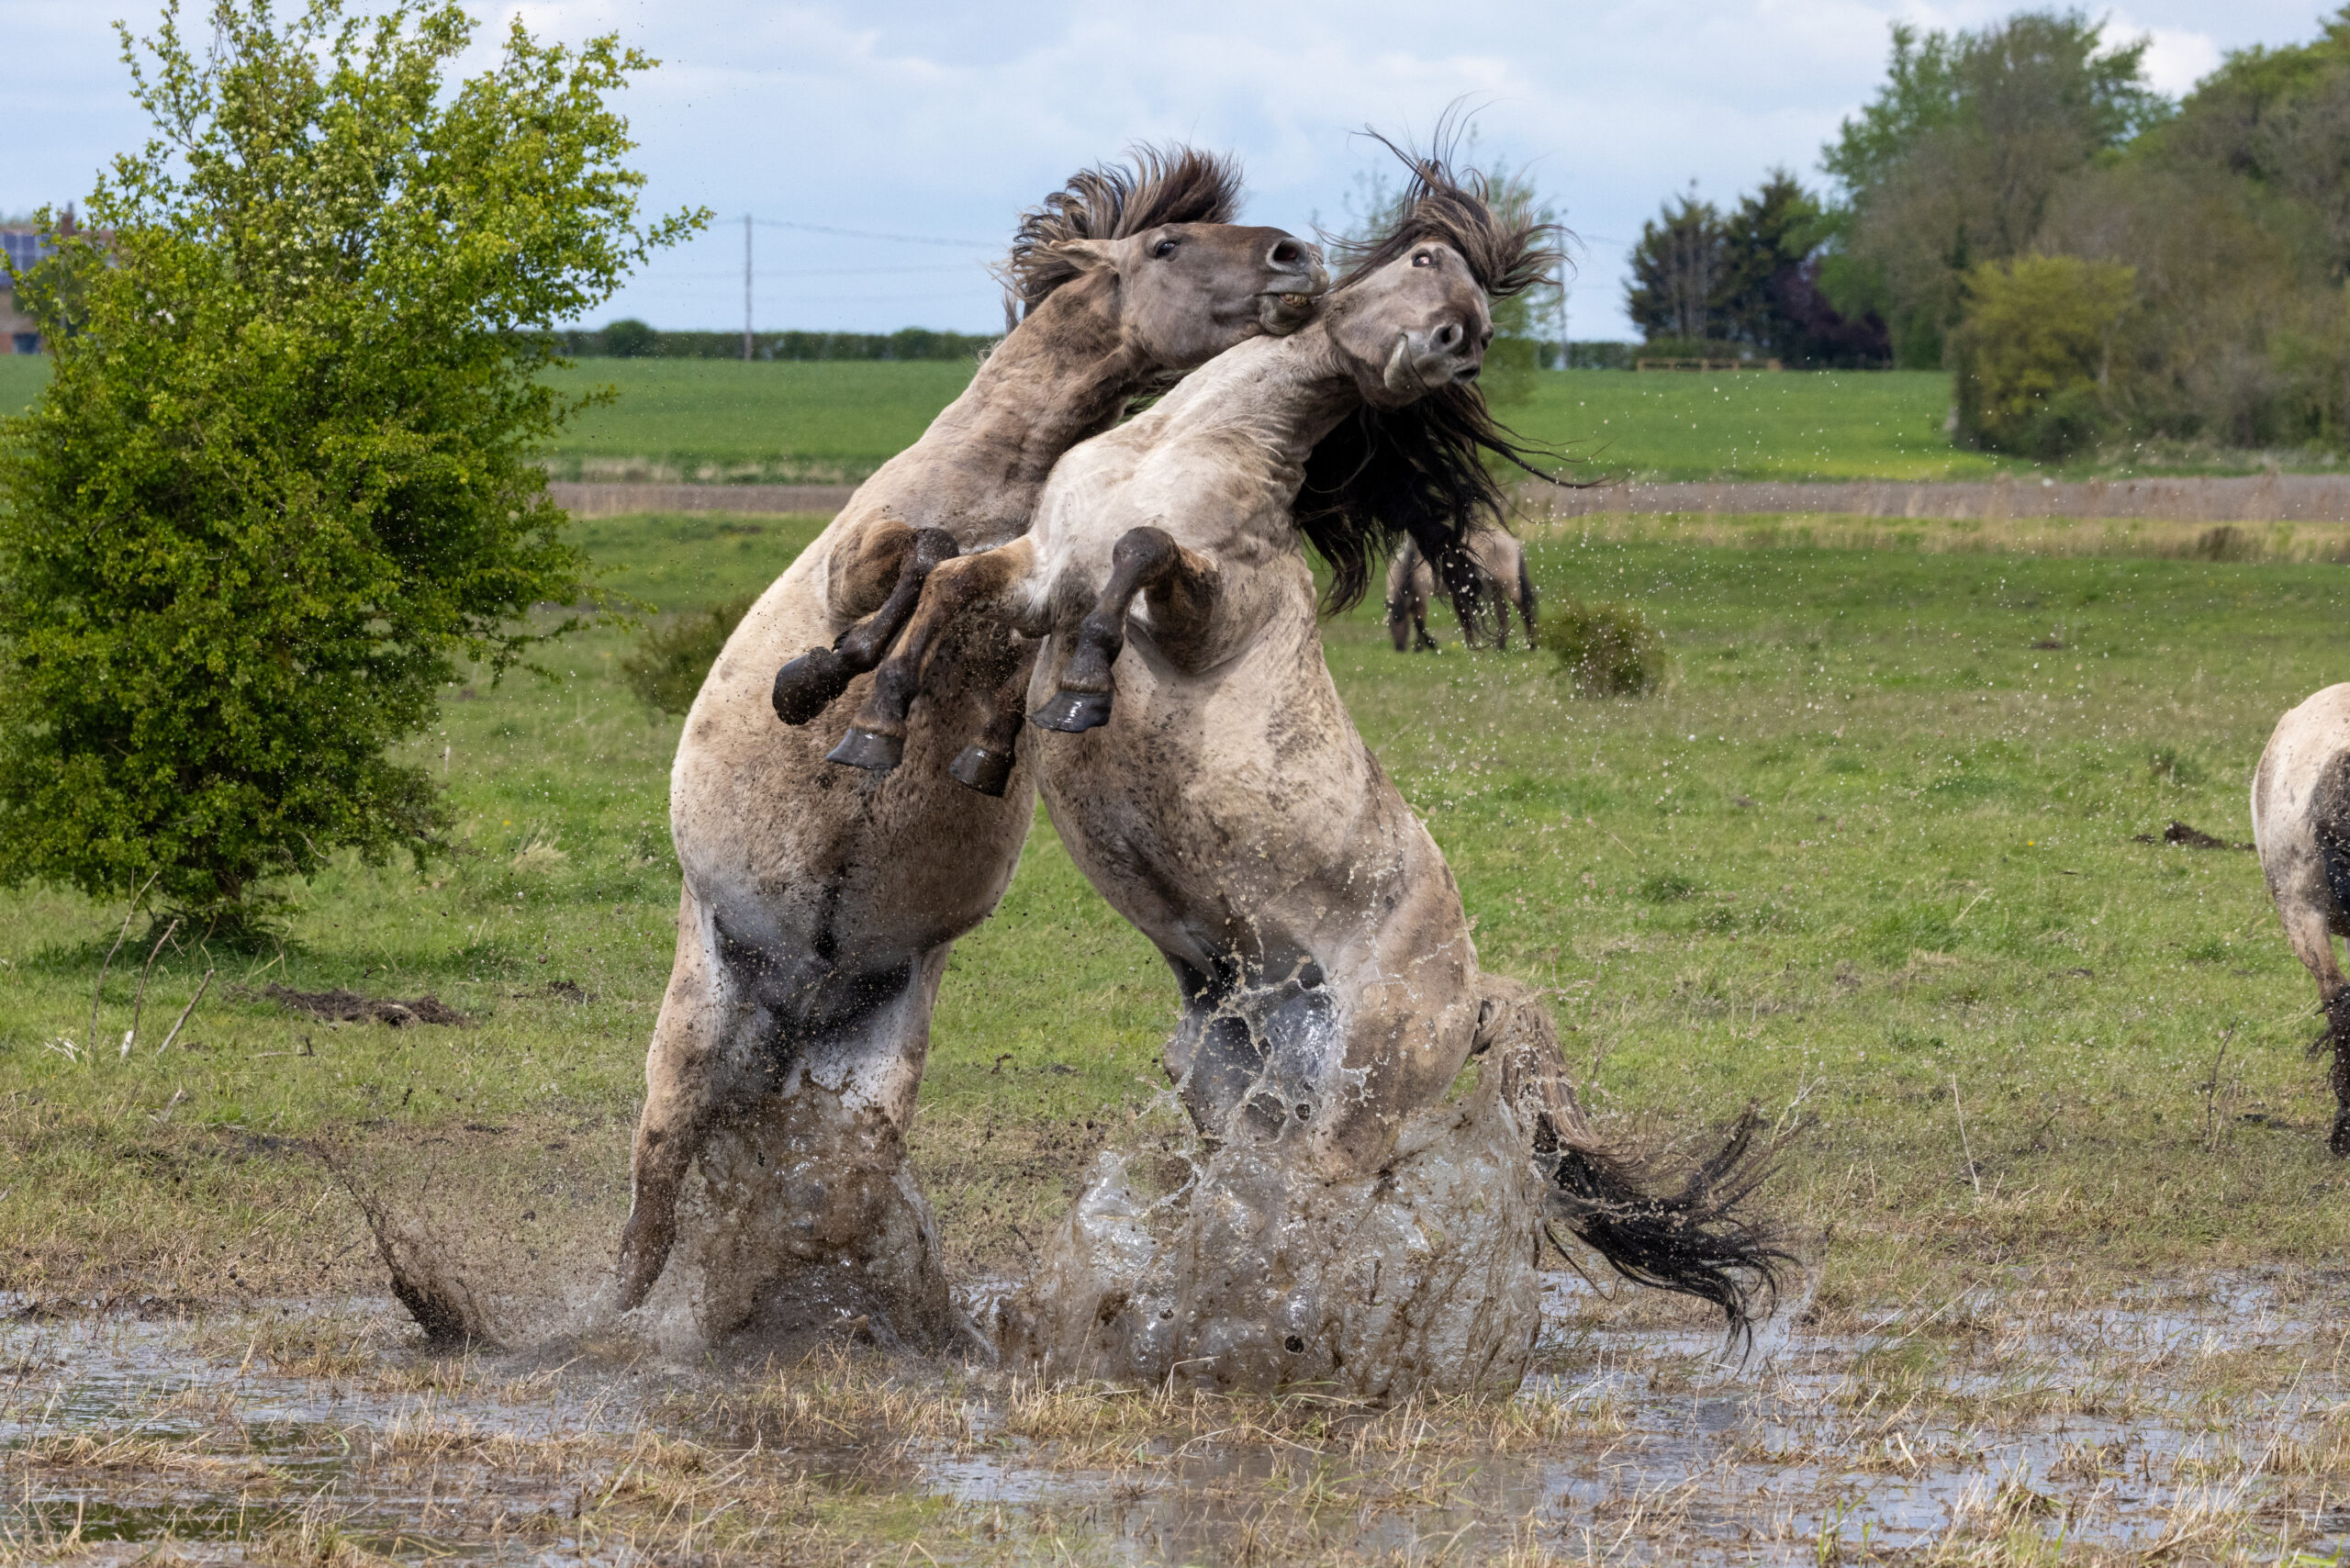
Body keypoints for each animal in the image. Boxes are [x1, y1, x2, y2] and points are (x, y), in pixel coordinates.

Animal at [615, 150, 1335, 1353]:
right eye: (1168, 245)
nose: (1297, 257)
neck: (999, 469)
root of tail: (790, 1000)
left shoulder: (1032, 600)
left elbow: (994, 627)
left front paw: (964, 736)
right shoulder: (861, 559)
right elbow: (914, 559)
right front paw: (822, 683)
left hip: (874, 1040)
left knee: (831, 1184)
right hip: (701, 1009)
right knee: (657, 1187)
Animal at [1372, 526, 1541, 648]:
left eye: (1399, 623)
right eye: (1390, 626)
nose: (1399, 649)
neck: (1412, 561)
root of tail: (1514, 543)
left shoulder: (1422, 593)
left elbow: (1419, 622)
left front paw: (1430, 645)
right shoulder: (1414, 595)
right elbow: (1417, 621)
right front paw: (1420, 647)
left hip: (1510, 585)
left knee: (1524, 609)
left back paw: (1531, 645)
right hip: (1495, 587)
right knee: (1503, 612)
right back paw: (1500, 647)